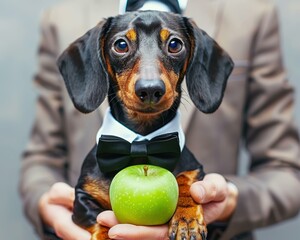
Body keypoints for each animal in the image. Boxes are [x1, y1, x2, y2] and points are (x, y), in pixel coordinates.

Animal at [56, 10, 234, 239]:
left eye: (174, 44)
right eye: (121, 45)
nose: (150, 89)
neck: (143, 140)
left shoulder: (196, 169)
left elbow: (185, 179)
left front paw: (186, 218)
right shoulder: (81, 198)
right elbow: (100, 219)